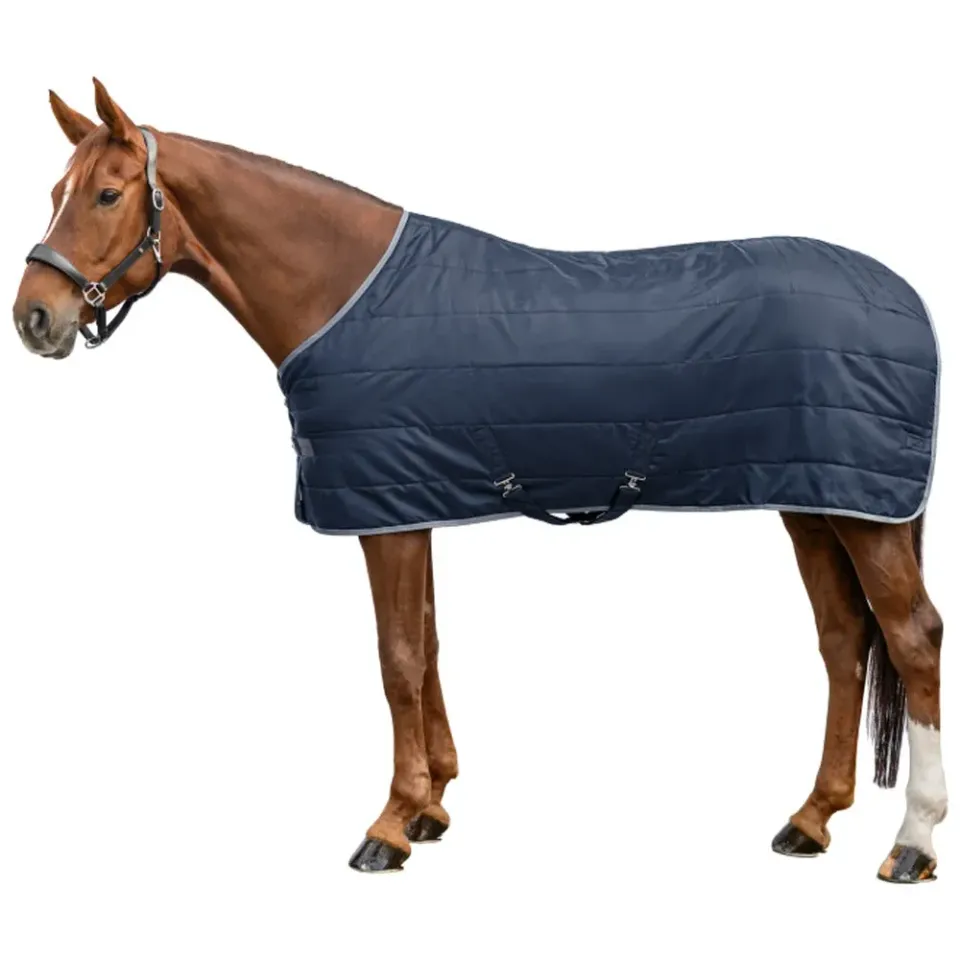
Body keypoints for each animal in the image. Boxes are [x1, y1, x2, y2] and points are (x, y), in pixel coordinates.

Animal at [12, 79, 946, 883]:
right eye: (56, 188)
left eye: (107, 195)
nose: (34, 318)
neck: (343, 292)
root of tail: (908, 299)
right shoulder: (414, 501)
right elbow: (425, 645)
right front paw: (432, 804)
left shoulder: (385, 515)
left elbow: (395, 658)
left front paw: (389, 825)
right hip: (814, 502)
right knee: (843, 640)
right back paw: (812, 819)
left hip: (864, 516)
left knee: (913, 638)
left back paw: (913, 841)